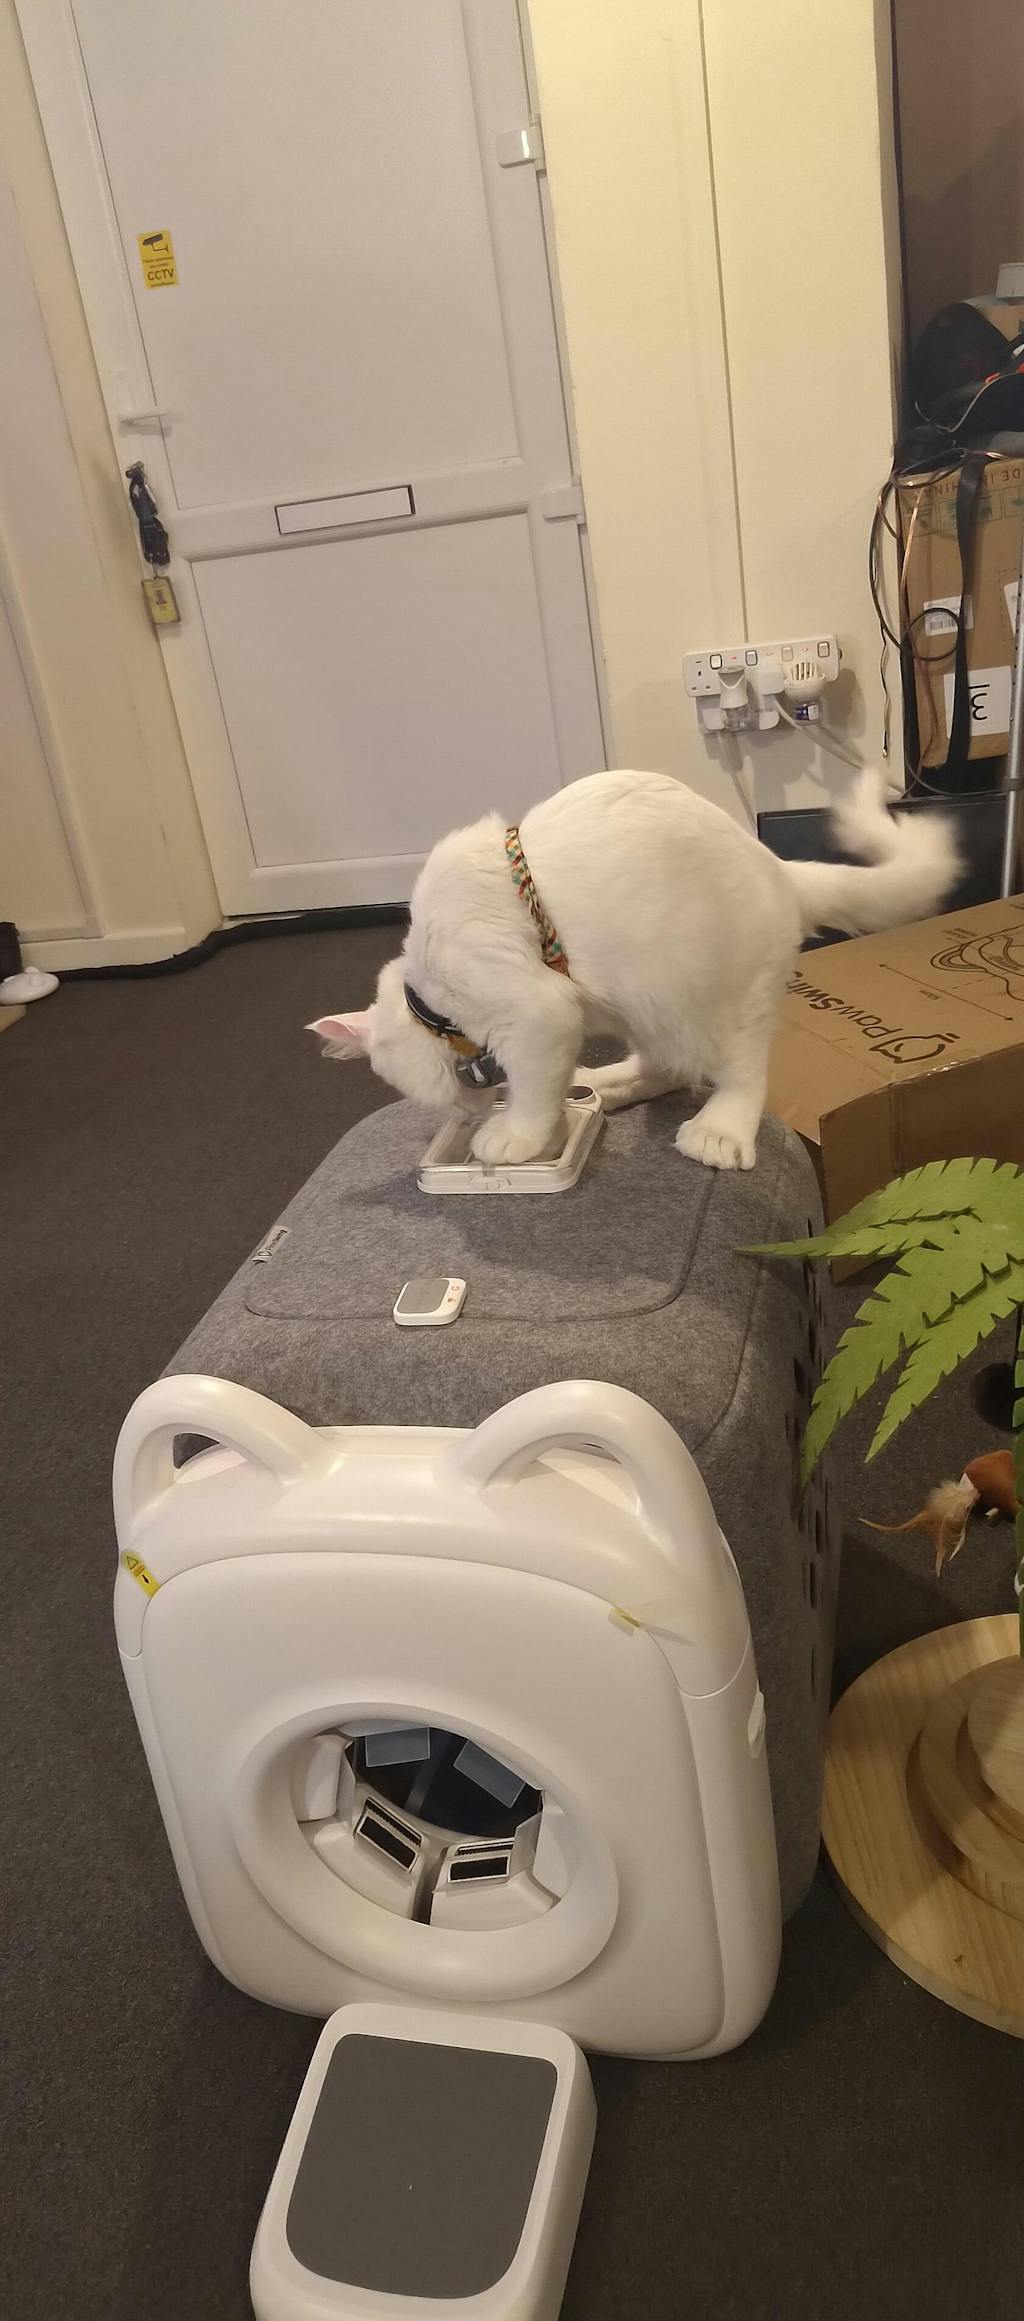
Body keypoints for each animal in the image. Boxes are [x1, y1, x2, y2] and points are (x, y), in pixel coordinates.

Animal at [309, 767, 958, 1171]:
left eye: (451, 1107)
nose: (466, 1117)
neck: (430, 994)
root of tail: (775, 864)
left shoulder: (538, 1017)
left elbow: (533, 1092)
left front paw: (514, 1134)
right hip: (643, 1005)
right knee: (664, 1069)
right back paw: (601, 1084)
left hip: (716, 998)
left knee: (739, 1073)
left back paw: (717, 1130)